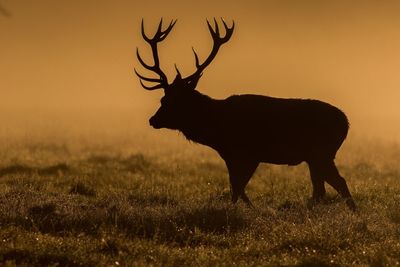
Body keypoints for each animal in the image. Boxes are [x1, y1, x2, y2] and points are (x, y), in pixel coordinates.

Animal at [135, 18, 356, 211]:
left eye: (170, 101)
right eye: (162, 99)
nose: (152, 120)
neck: (217, 130)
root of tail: (346, 123)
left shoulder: (251, 153)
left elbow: (238, 188)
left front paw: (246, 209)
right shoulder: (230, 156)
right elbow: (235, 186)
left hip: (321, 152)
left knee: (335, 184)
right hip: (317, 156)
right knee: (324, 188)